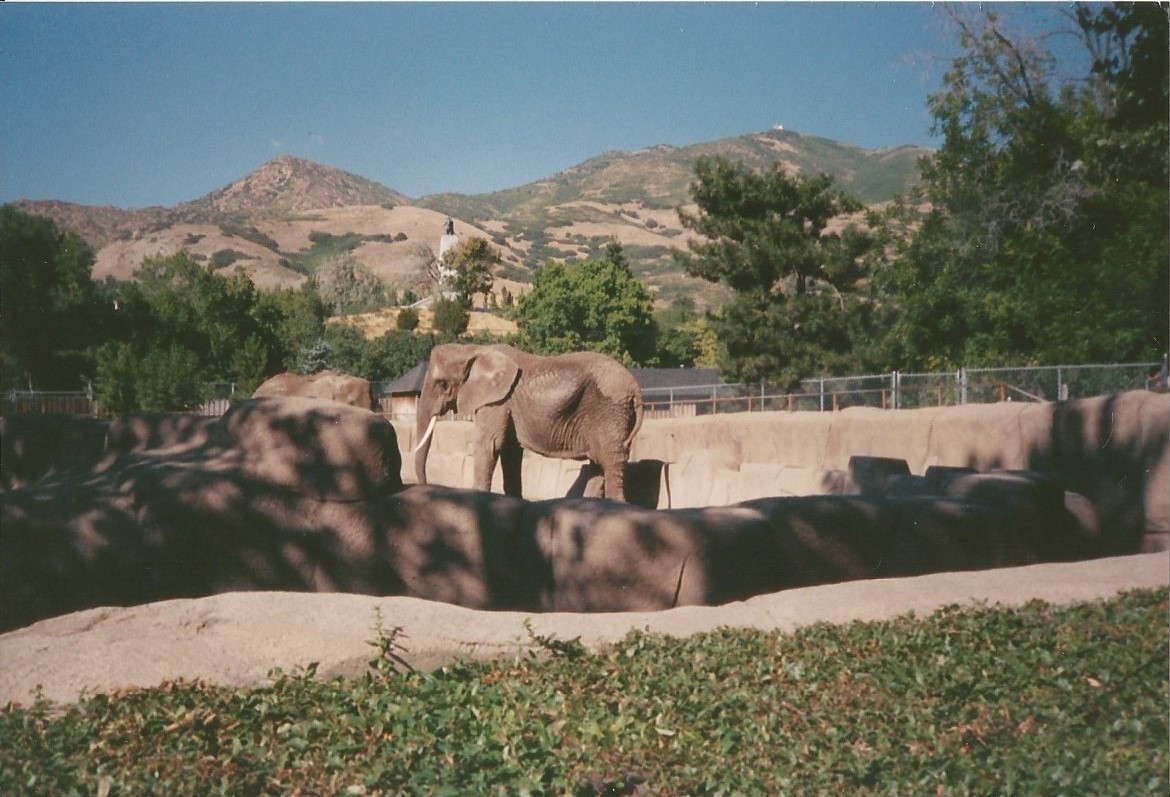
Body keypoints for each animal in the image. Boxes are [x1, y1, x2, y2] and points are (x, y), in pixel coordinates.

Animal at [414, 343, 644, 501]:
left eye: (442, 384)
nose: (425, 485)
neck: (473, 349)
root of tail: (635, 388)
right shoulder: (505, 403)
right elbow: (509, 451)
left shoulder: (497, 400)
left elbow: (489, 444)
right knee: (599, 461)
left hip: (610, 409)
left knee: (610, 459)